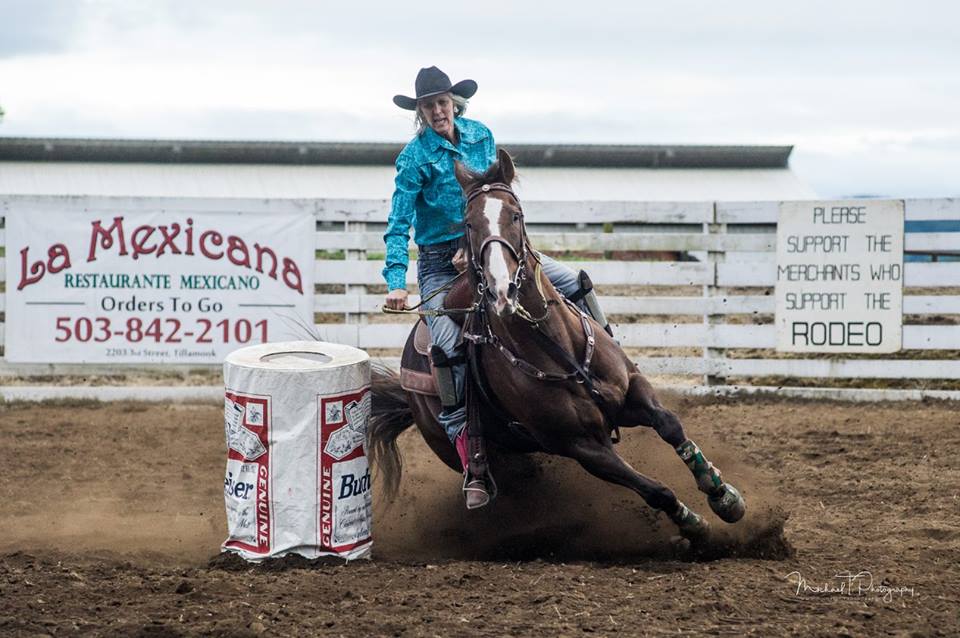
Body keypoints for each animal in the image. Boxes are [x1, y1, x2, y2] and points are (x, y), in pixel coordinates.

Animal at [368, 150, 744, 544]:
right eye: (468, 223)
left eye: (515, 214)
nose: (502, 290)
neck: (556, 347)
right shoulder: (583, 447)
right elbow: (655, 489)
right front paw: (694, 525)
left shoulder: (632, 390)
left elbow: (670, 425)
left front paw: (723, 495)